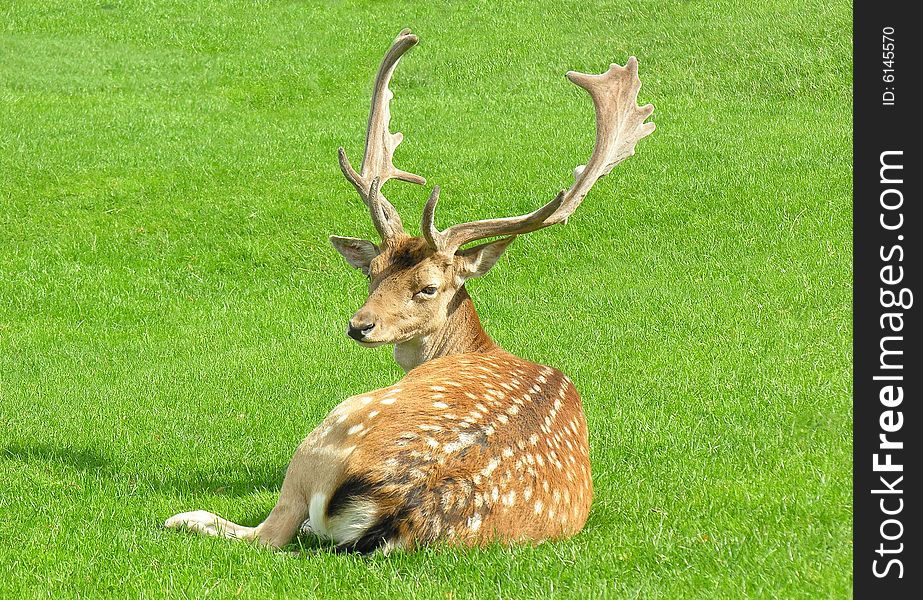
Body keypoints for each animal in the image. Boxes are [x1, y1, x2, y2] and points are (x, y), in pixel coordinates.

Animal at [166, 28, 656, 552]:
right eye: (372, 271)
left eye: (428, 288)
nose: (359, 326)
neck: (475, 346)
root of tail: (403, 503)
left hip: (335, 422)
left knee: (269, 533)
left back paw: (185, 517)